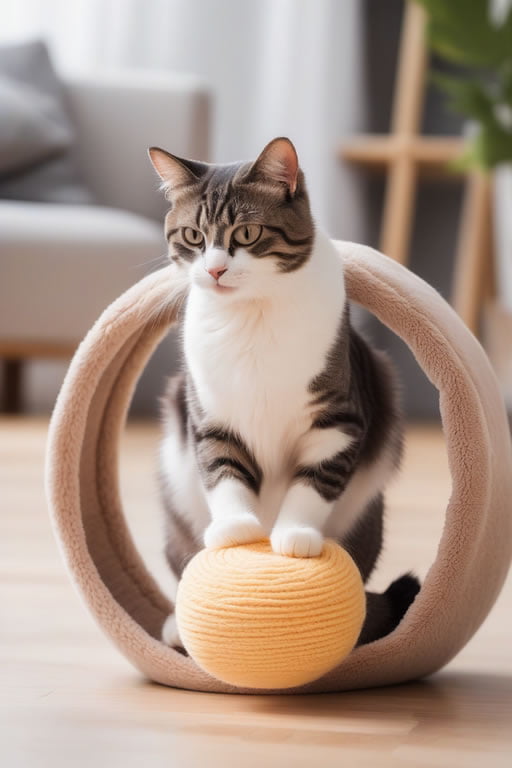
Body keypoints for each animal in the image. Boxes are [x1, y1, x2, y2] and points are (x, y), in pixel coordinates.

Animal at [149, 136, 420, 648]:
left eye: (247, 234)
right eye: (193, 237)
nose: (215, 270)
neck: (251, 317)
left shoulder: (338, 419)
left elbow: (314, 480)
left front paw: (294, 537)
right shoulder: (210, 414)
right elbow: (222, 469)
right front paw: (237, 529)